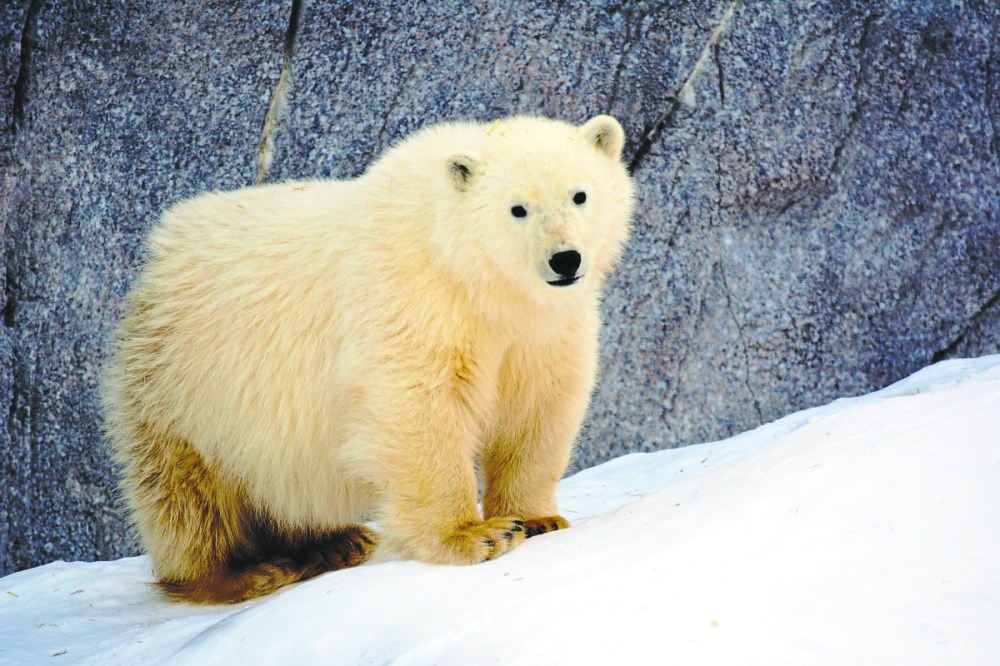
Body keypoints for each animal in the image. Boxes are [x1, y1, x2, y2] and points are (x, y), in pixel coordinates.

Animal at [102, 114, 636, 603]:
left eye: (580, 195)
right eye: (517, 208)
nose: (565, 259)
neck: (471, 275)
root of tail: (158, 257)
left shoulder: (540, 332)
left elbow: (539, 404)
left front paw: (538, 519)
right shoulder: (412, 295)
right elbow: (419, 406)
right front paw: (477, 534)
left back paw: (335, 542)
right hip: (182, 383)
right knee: (188, 493)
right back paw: (243, 573)